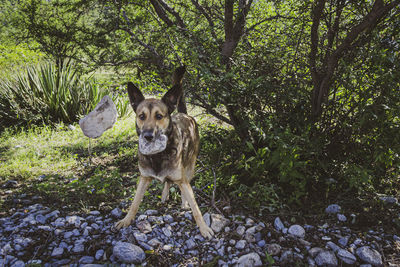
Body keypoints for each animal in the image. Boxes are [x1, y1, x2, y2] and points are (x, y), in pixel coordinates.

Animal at [114, 66, 214, 240]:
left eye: (159, 116)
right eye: (141, 116)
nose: (148, 136)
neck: (157, 155)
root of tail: (185, 114)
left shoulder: (182, 179)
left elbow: (196, 209)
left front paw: (203, 228)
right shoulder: (144, 178)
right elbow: (134, 203)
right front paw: (126, 220)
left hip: (189, 168)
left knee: (182, 184)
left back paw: (183, 202)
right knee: (167, 182)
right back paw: (164, 196)